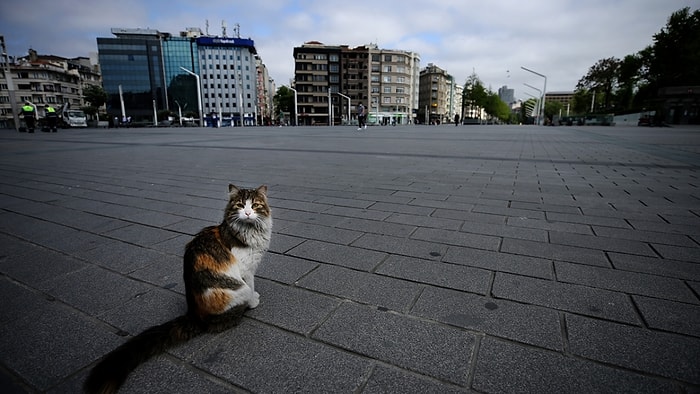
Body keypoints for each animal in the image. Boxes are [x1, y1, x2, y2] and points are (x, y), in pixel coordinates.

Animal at [85, 185, 274, 394]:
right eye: (240, 205)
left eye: (254, 205)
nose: (247, 213)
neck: (250, 230)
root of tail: (194, 314)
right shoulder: (245, 270)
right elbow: (251, 285)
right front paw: (254, 300)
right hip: (235, 288)